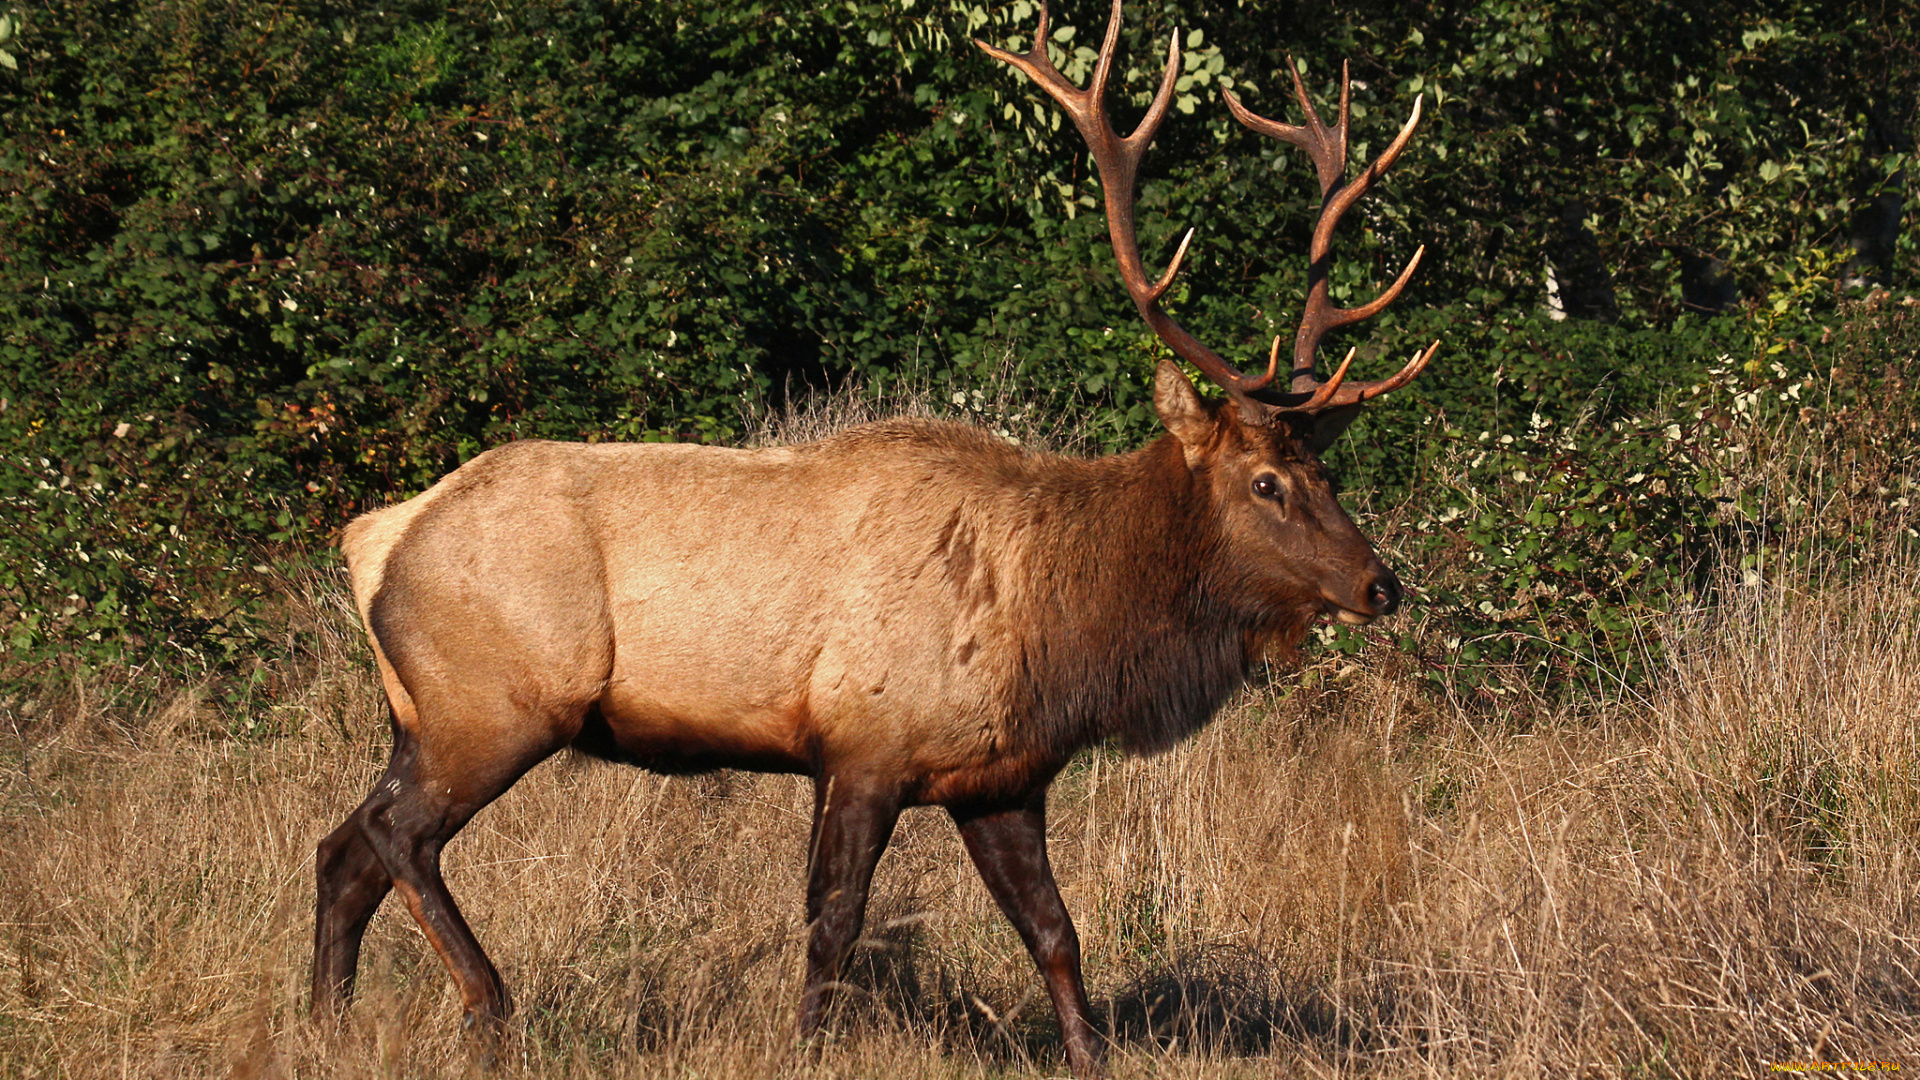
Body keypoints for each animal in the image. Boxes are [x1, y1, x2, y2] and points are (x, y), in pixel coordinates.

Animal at [307, 4, 1436, 1068]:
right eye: (1264, 482)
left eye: (1325, 472)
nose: (1381, 584)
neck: (1060, 626)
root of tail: (373, 538)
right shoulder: (862, 744)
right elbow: (833, 927)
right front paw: (801, 1046)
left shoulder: (1000, 779)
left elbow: (1056, 934)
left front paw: (1089, 1054)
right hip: (496, 700)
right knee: (394, 834)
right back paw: (490, 1004)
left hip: (422, 714)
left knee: (340, 850)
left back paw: (329, 1018)